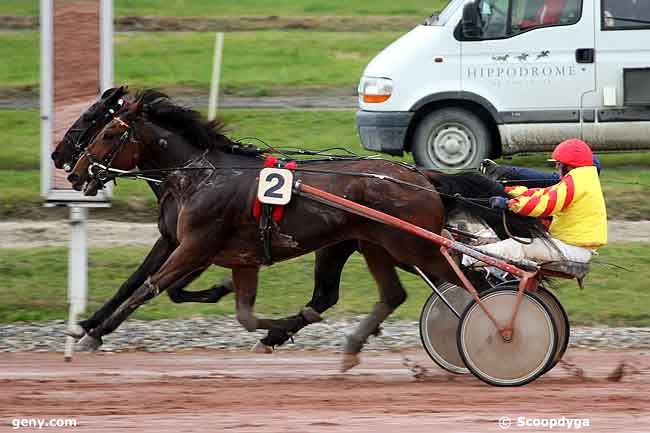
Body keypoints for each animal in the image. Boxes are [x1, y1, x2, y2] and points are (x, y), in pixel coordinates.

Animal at [66, 91, 544, 368]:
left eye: (105, 132)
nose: (72, 170)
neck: (201, 175)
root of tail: (421, 176)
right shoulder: (221, 252)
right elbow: (229, 307)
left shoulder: (194, 245)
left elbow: (148, 287)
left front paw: (92, 335)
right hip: (371, 245)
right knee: (388, 295)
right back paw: (346, 346)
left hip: (412, 247)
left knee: (480, 285)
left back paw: (506, 338)